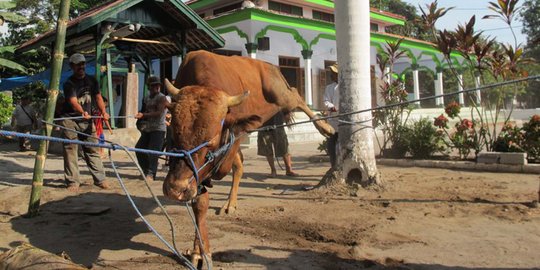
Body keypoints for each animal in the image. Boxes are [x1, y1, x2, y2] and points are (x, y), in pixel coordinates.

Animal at [161, 49, 334, 266]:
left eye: (212, 139)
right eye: (174, 132)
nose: (175, 189)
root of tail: (268, 65)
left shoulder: (229, 141)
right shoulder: (196, 174)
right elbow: (200, 204)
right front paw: (199, 251)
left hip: (280, 95)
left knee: (296, 96)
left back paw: (326, 127)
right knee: (240, 165)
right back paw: (230, 203)